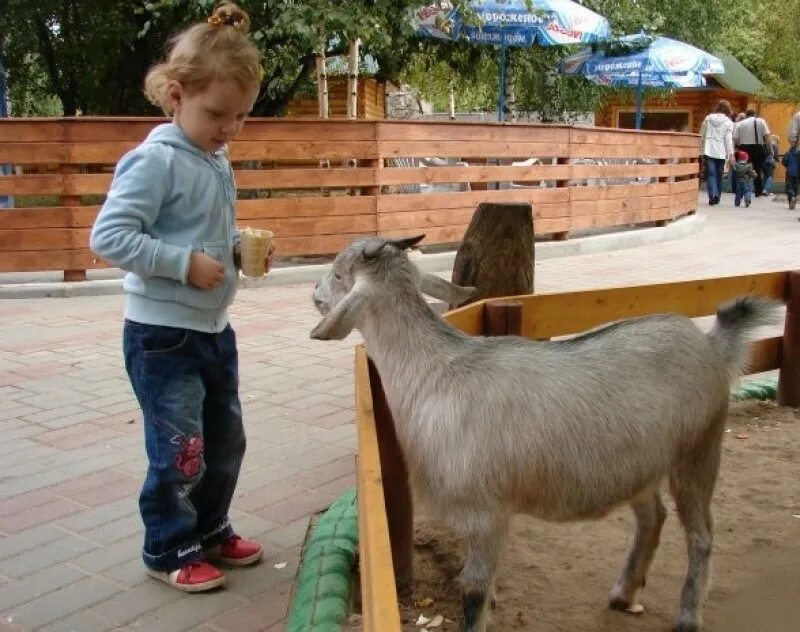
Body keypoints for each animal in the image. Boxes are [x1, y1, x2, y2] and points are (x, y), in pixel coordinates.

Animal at [310, 235, 780, 628]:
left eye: (338, 274)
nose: (314, 293)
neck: (434, 373)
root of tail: (713, 345)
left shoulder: (487, 512)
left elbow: (473, 592)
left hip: (699, 449)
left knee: (701, 535)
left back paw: (687, 616)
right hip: (641, 463)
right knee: (653, 517)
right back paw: (624, 593)